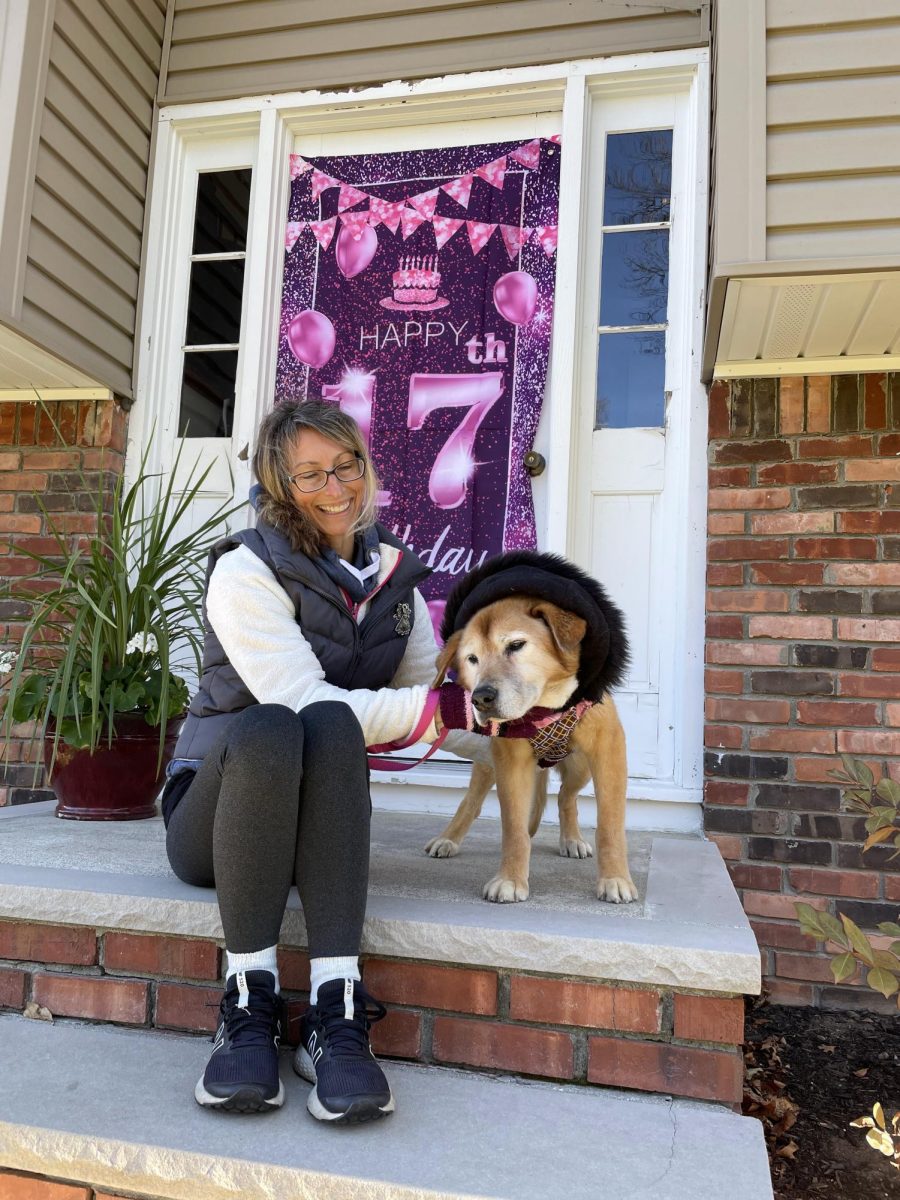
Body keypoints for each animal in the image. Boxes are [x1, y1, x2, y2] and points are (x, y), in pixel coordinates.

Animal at [427, 549, 638, 902]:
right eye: (471, 659)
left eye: (515, 645)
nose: (481, 698)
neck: (545, 709)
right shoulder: (509, 762)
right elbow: (512, 828)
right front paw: (511, 879)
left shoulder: (608, 752)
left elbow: (610, 827)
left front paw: (615, 879)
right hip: (489, 765)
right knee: (472, 801)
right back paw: (449, 837)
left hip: (579, 766)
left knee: (566, 797)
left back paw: (572, 839)